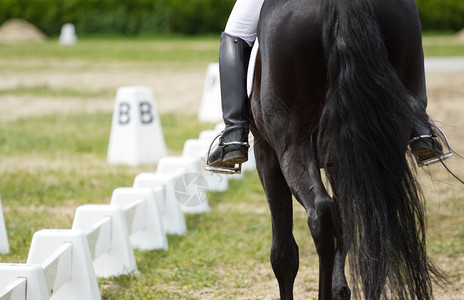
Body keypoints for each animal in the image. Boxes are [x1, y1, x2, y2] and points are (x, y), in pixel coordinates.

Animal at [250, 0, 446, 298]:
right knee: (373, 221)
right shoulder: (339, 159)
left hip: (290, 145)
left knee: (320, 214)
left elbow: (283, 253)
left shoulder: (266, 152)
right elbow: (345, 226)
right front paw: (340, 288)